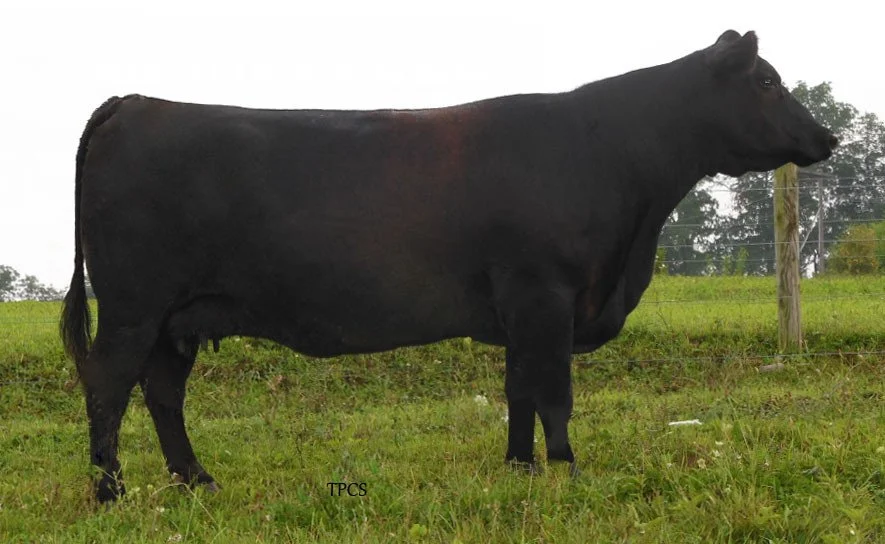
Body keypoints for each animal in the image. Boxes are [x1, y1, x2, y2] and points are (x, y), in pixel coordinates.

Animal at [61, 30, 837, 503]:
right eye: (768, 83)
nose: (826, 137)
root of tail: (135, 102)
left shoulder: (521, 309)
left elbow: (519, 391)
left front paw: (520, 468)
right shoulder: (544, 293)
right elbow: (554, 393)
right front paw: (567, 472)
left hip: (178, 317)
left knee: (162, 393)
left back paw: (196, 481)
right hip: (133, 304)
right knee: (107, 386)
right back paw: (111, 491)